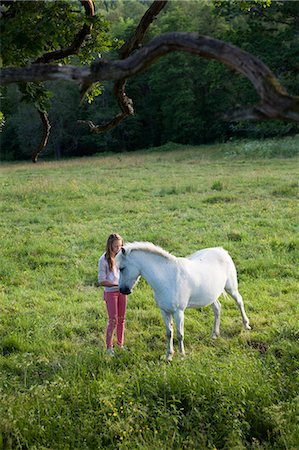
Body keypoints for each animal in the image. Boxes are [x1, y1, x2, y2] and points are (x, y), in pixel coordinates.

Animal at [116, 241, 252, 360]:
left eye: (122, 268)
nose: (123, 290)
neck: (167, 277)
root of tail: (221, 250)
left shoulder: (179, 312)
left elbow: (179, 334)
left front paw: (182, 355)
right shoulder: (164, 311)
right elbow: (169, 333)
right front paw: (168, 356)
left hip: (231, 287)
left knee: (239, 301)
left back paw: (246, 325)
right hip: (211, 295)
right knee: (217, 308)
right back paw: (214, 334)